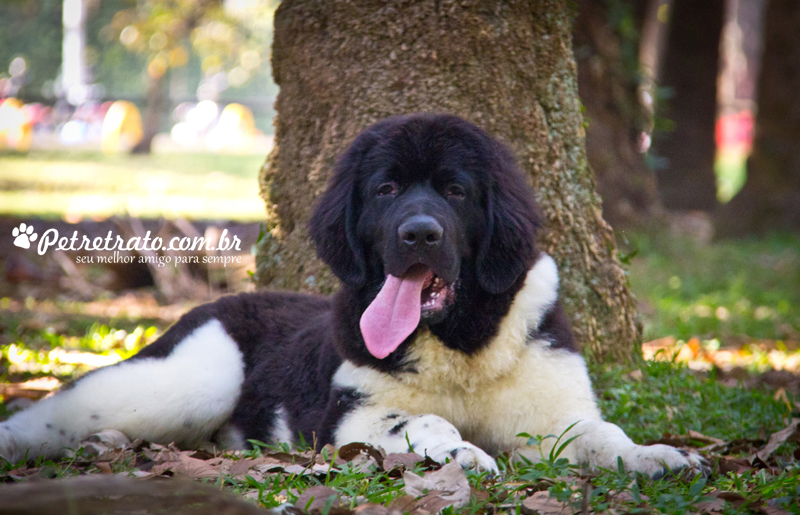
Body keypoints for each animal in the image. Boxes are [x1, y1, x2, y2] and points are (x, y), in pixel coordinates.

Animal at [0, 115, 708, 478]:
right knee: (64, 406)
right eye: (387, 189)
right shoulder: (349, 419)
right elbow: (422, 420)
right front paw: (463, 450)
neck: (460, 339)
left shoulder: (556, 413)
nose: (417, 233)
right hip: (190, 378)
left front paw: (657, 455)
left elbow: (601, 433)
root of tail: (218, 303)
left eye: (455, 191)